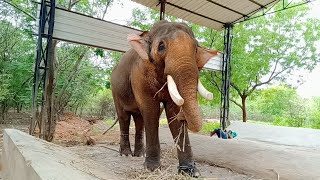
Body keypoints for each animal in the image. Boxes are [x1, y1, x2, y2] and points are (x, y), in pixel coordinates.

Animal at [110, 20, 218, 176]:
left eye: (196, 49)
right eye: (161, 46)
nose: (183, 117)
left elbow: (172, 112)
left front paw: (191, 172)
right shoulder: (139, 75)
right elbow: (151, 109)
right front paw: (152, 169)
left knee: (139, 120)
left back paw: (139, 155)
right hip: (115, 90)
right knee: (124, 116)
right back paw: (125, 155)